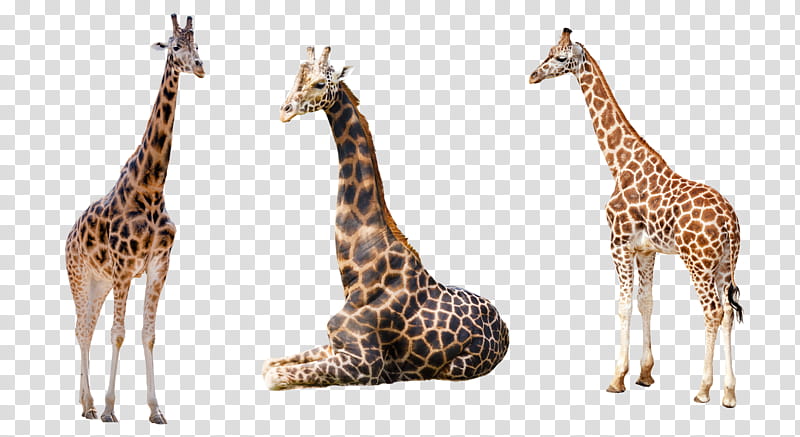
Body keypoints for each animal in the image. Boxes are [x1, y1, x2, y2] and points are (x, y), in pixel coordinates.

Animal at [64, 14, 204, 423]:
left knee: (85, 328)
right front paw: (111, 408)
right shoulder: (125, 266)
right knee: (82, 330)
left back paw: (86, 404)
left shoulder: (158, 264)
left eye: (198, 44)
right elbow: (118, 333)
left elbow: (148, 334)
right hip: (80, 276)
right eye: (175, 46)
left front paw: (156, 410)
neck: (151, 186)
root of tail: (68, 236)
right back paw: (91, 405)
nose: (199, 66)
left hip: (99, 282)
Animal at [263, 47, 509, 389]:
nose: (284, 112)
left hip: (457, 367)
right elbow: (272, 363)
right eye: (295, 78)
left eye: (319, 84)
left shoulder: (365, 363)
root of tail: (506, 329)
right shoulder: (334, 344)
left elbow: (275, 376)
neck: (358, 271)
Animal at [529, 29, 743, 407]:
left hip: (698, 262)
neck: (620, 165)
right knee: (730, 313)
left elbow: (623, 306)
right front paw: (644, 374)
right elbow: (646, 303)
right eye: (549, 51)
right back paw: (729, 394)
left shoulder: (619, 244)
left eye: (560, 57)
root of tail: (730, 222)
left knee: (714, 312)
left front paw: (617, 378)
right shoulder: (646, 250)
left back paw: (703, 390)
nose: (533, 75)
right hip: (723, 264)